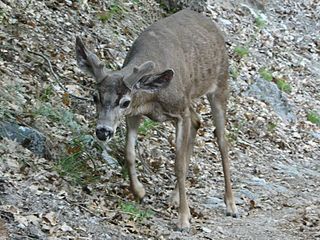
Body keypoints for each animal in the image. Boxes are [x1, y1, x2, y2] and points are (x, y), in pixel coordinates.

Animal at [75, 8, 238, 231]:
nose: (103, 131)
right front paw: (139, 192)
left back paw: (231, 205)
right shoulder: (135, 114)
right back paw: (174, 197)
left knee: (222, 139)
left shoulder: (178, 110)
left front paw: (184, 219)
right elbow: (129, 153)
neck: (151, 99)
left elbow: (178, 164)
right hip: (192, 99)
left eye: (124, 102)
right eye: (94, 97)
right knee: (197, 121)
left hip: (220, 85)